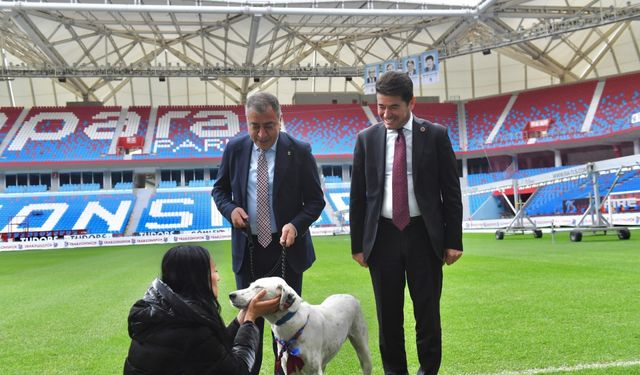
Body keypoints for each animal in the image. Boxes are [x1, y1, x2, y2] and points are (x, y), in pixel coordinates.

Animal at [230, 278, 372, 374]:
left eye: (258, 287)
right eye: (250, 285)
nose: (231, 295)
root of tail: (351, 296)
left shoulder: (314, 370)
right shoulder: (288, 368)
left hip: (363, 351)